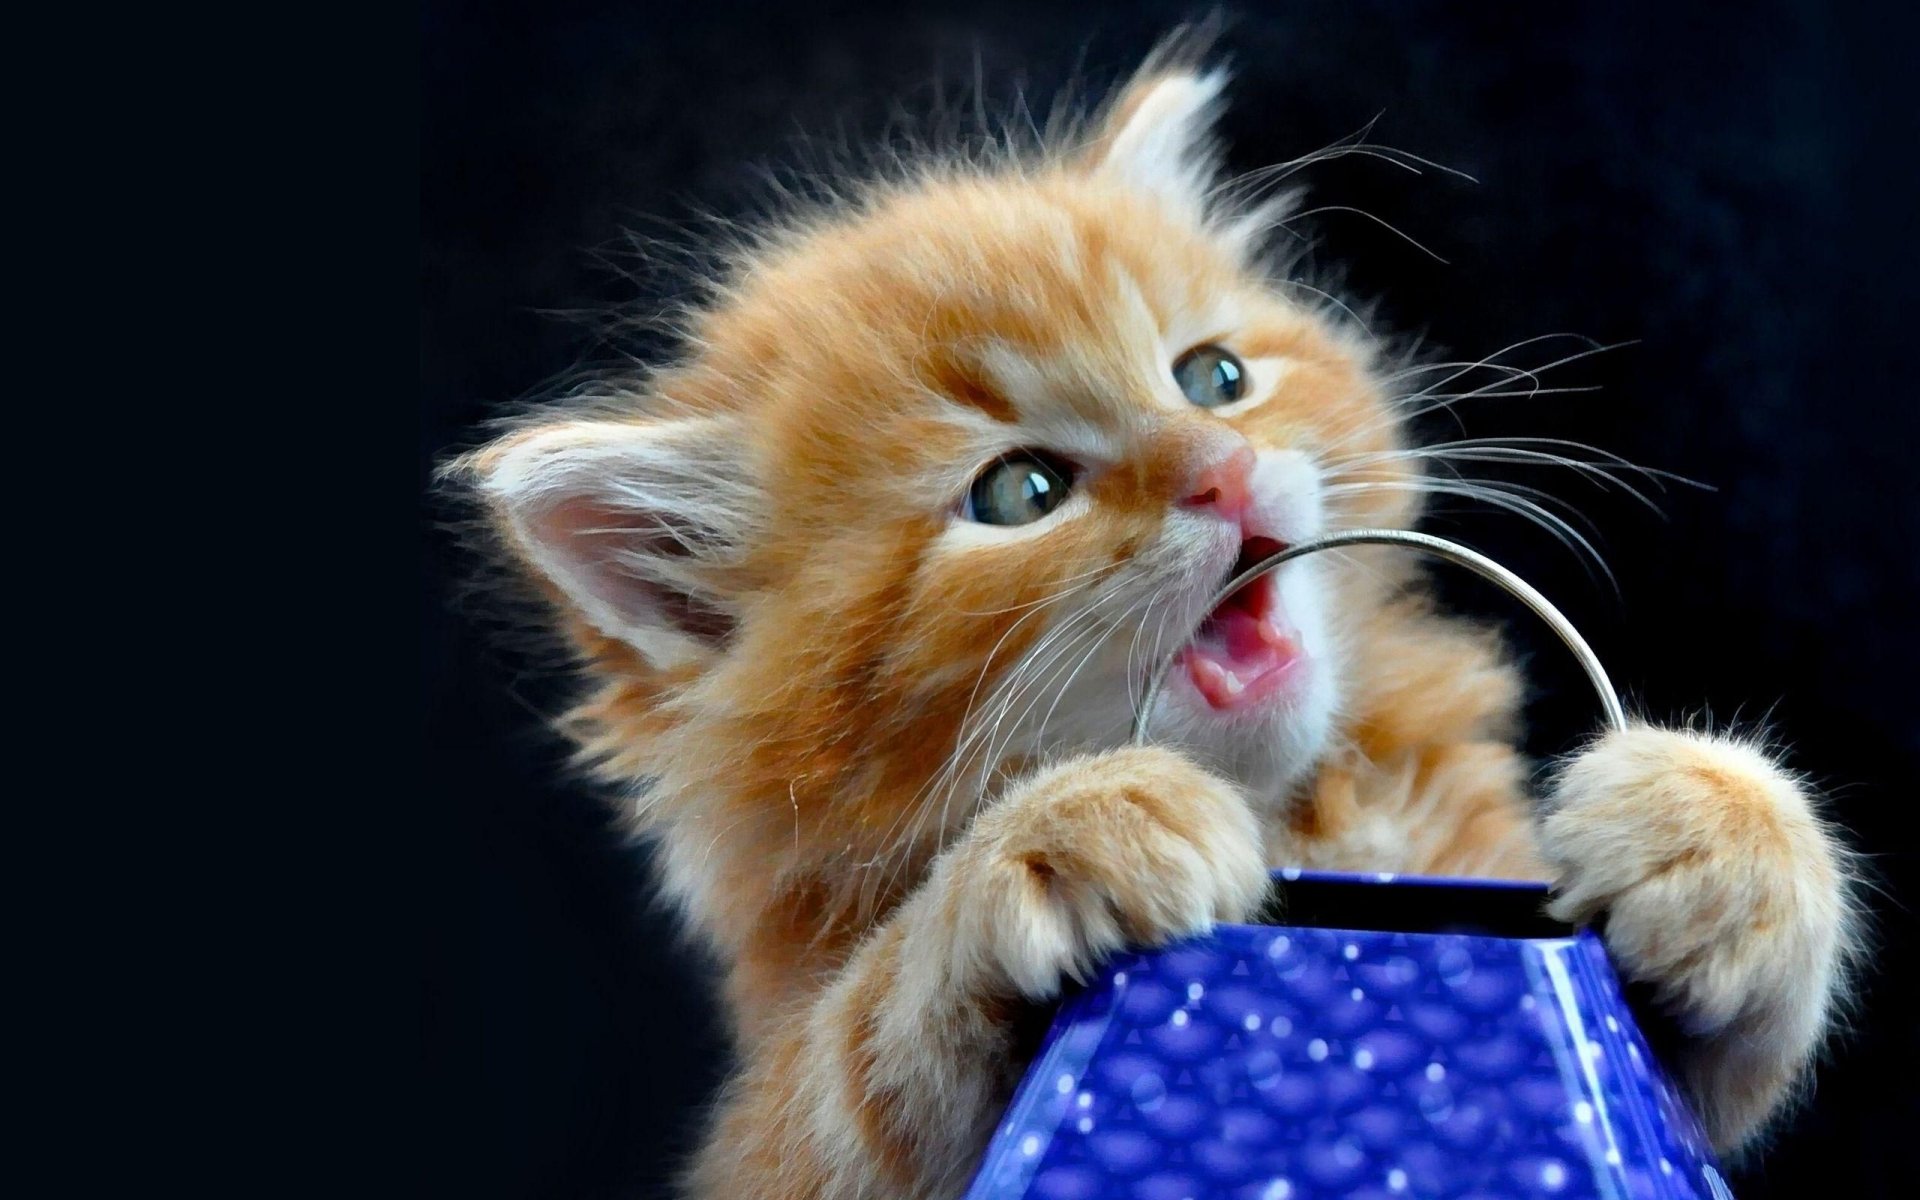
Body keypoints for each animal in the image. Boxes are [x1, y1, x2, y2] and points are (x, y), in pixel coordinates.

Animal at [449, 39, 1858, 1198]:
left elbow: (1705, 1063)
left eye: (1213, 379)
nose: (1219, 471)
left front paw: (1712, 830)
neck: (1295, 812)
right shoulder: (775, 1134)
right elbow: (858, 1066)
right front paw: (1061, 839)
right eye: (1019, 492)